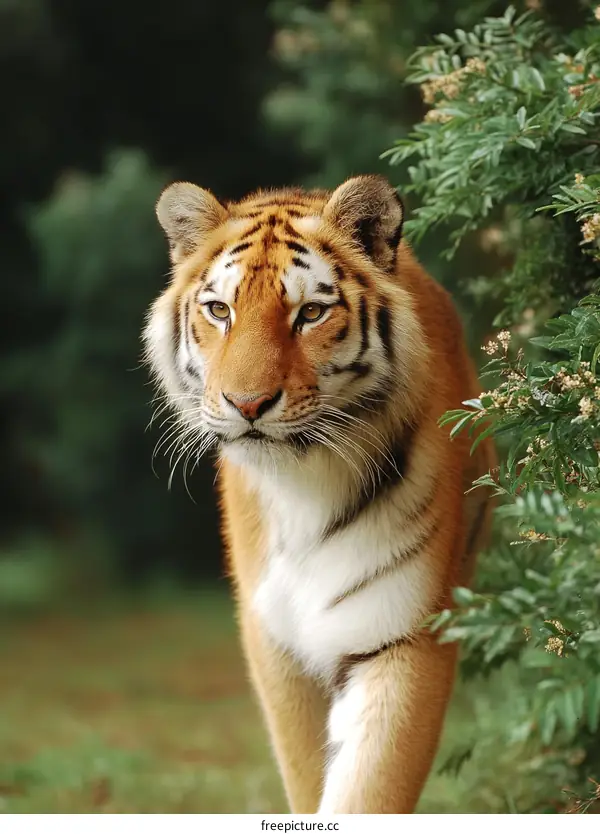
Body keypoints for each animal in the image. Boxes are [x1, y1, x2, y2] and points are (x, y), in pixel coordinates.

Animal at [143, 174, 495, 814]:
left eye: (309, 313)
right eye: (219, 310)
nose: (247, 404)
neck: (306, 485)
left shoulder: (402, 631)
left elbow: (369, 789)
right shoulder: (275, 643)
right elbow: (306, 774)